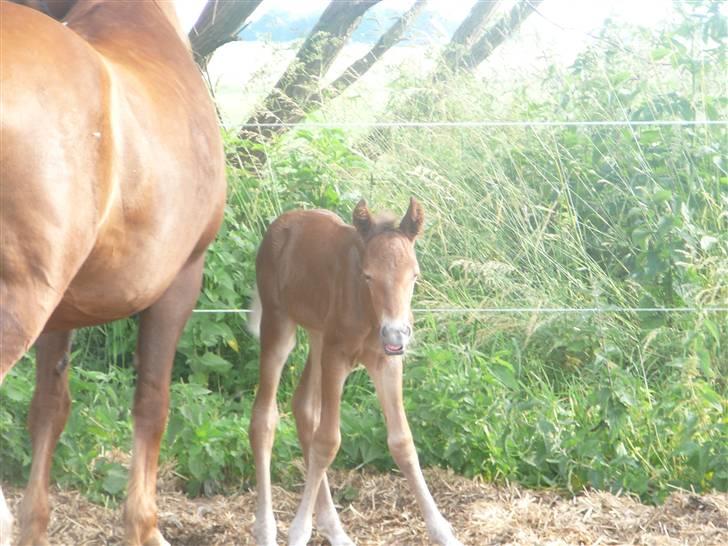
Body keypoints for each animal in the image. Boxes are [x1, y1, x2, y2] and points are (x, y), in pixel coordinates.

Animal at [0, 2, 226, 540]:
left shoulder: (58, 311)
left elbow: (49, 408)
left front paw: (34, 527)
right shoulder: (182, 282)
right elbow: (152, 403)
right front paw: (145, 527)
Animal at [247, 197, 464, 544]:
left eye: (415, 275)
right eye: (368, 276)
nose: (396, 334)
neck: (370, 313)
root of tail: (283, 222)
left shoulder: (387, 362)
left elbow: (402, 442)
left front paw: (443, 531)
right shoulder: (336, 358)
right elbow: (328, 442)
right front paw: (298, 531)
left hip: (318, 336)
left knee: (304, 407)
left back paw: (334, 530)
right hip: (280, 327)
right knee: (264, 419)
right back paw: (266, 530)